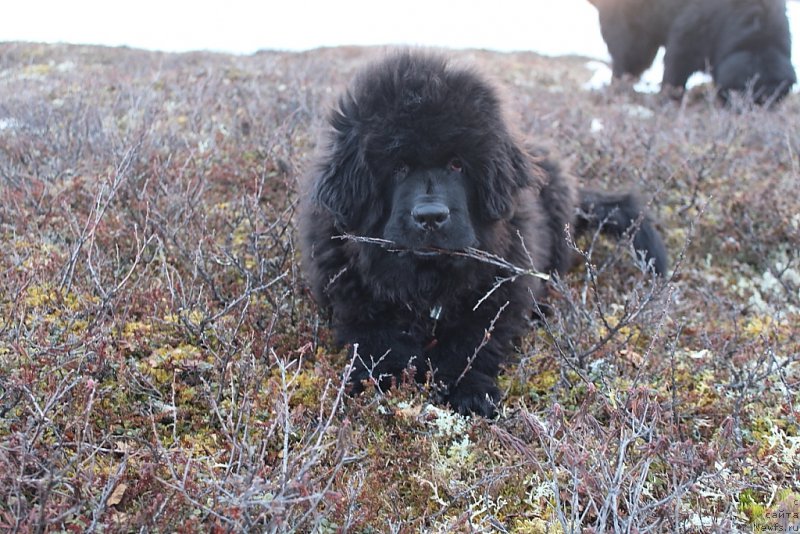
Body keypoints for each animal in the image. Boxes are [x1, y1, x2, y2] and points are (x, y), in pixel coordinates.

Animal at [300, 51, 668, 418]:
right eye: (398, 167)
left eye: (457, 164)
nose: (431, 216)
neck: (426, 284)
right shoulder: (351, 294)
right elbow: (376, 339)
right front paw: (375, 381)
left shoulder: (499, 292)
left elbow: (474, 341)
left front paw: (470, 391)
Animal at [588, 0, 792, 103]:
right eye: (740, 93)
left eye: (774, 99)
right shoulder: (687, 39)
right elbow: (674, 78)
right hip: (636, 37)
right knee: (626, 65)